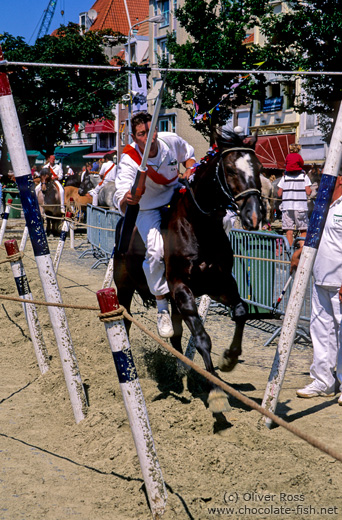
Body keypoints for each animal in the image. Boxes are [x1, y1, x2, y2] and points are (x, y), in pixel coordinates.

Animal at [113, 128, 264, 412]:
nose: (254, 216)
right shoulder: (182, 288)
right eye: (229, 169)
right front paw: (216, 391)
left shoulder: (218, 283)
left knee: (176, 335)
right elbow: (202, 337)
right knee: (127, 322)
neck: (199, 226)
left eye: (259, 167)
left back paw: (180, 368)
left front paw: (229, 358)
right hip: (124, 288)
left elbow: (240, 311)